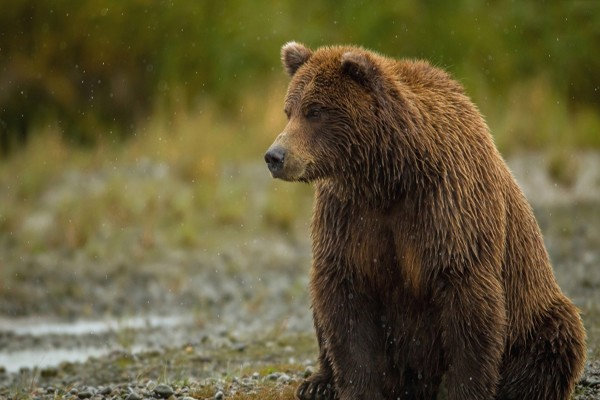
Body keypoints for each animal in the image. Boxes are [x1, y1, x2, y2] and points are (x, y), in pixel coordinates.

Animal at [264, 42, 584, 398]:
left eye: (315, 111)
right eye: (289, 110)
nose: (275, 156)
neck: (388, 177)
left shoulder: (447, 208)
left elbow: (467, 302)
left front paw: (462, 389)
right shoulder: (348, 217)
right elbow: (345, 299)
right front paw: (357, 387)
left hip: (535, 314)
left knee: (553, 342)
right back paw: (318, 383)